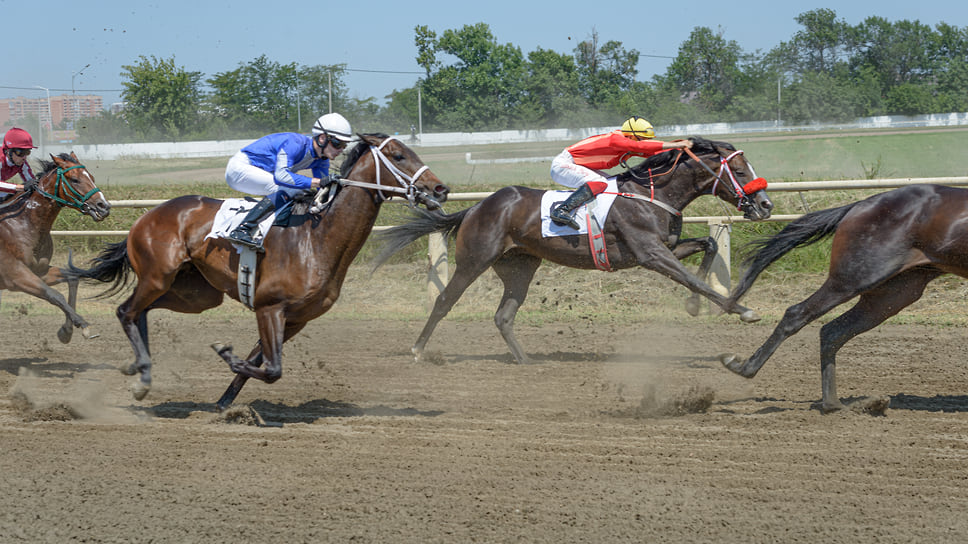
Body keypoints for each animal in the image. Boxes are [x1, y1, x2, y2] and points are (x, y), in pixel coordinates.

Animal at [0, 151, 110, 342]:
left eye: (92, 177)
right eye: (75, 179)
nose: (104, 207)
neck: (24, 224)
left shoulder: (39, 272)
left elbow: (72, 278)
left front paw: (67, 330)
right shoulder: (15, 276)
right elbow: (54, 295)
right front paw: (82, 324)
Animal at [69, 135, 454, 408]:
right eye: (399, 156)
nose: (440, 188)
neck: (316, 238)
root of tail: (146, 217)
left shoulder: (296, 318)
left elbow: (263, 363)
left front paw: (224, 402)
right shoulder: (270, 307)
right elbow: (271, 368)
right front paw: (225, 354)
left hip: (196, 294)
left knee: (142, 311)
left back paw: (142, 371)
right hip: (158, 275)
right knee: (126, 311)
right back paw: (139, 372)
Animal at [374, 137, 776, 366]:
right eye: (740, 170)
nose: (765, 205)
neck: (652, 194)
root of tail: (476, 207)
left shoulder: (666, 248)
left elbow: (708, 247)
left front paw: (694, 306)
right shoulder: (650, 253)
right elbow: (696, 280)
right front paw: (742, 310)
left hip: (520, 267)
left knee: (504, 316)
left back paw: (526, 360)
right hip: (474, 260)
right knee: (444, 302)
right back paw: (418, 350)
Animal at [716, 184, 968, 412]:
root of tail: (858, 206)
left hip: (894, 292)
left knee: (832, 331)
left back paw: (834, 404)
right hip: (854, 278)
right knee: (798, 314)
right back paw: (744, 367)